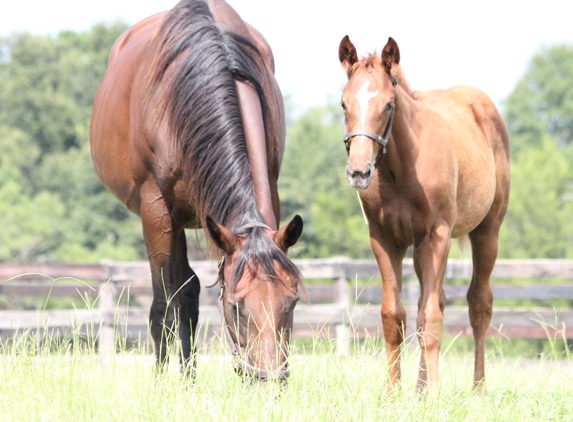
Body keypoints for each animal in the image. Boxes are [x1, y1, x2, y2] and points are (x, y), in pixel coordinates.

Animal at [89, 0, 302, 380]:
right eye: (236, 307)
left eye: (292, 302)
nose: (269, 381)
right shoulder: (156, 211)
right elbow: (162, 305)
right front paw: (161, 384)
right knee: (179, 293)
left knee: (188, 291)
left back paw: (189, 377)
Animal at [338, 36, 508, 392]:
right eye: (344, 104)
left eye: (388, 105)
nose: (359, 172)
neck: (402, 169)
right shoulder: (386, 240)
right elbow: (395, 316)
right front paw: (393, 394)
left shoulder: (437, 236)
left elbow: (431, 319)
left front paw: (435, 397)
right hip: (418, 248)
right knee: (431, 302)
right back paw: (419, 388)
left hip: (487, 230)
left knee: (479, 304)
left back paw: (478, 389)